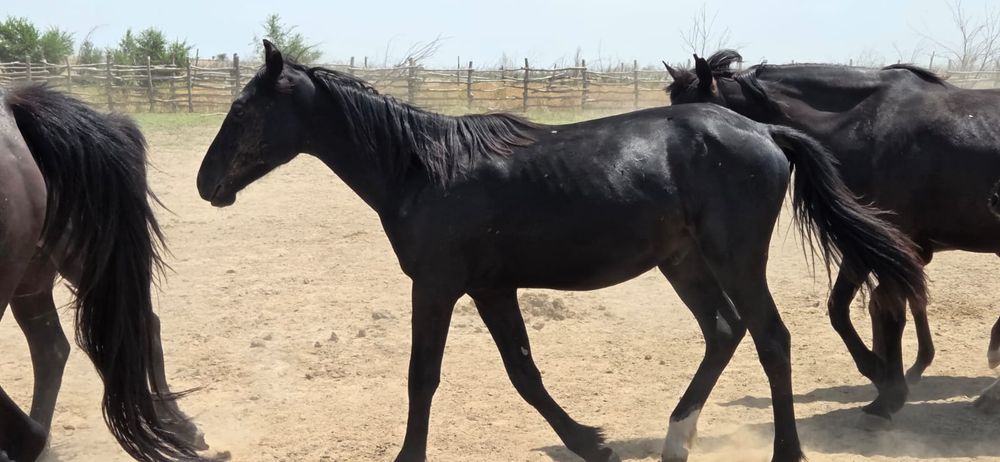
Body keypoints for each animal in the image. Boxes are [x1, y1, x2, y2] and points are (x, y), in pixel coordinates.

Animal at [196, 40, 926, 462]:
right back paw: (675, 439)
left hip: (734, 257)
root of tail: (765, 133)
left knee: (770, 338)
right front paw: (591, 443)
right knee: (724, 331)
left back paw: (784, 451)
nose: (207, 184)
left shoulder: (436, 287)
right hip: (683, 261)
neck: (425, 169)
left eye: (245, 110)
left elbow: (423, 377)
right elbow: (523, 372)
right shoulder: (490, 288)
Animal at [664, 50, 1000, 421]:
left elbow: (881, 310)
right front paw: (886, 376)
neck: (865, 126)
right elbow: (851, 308)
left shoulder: (879, 245)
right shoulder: (872, 246)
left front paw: (887, 388)